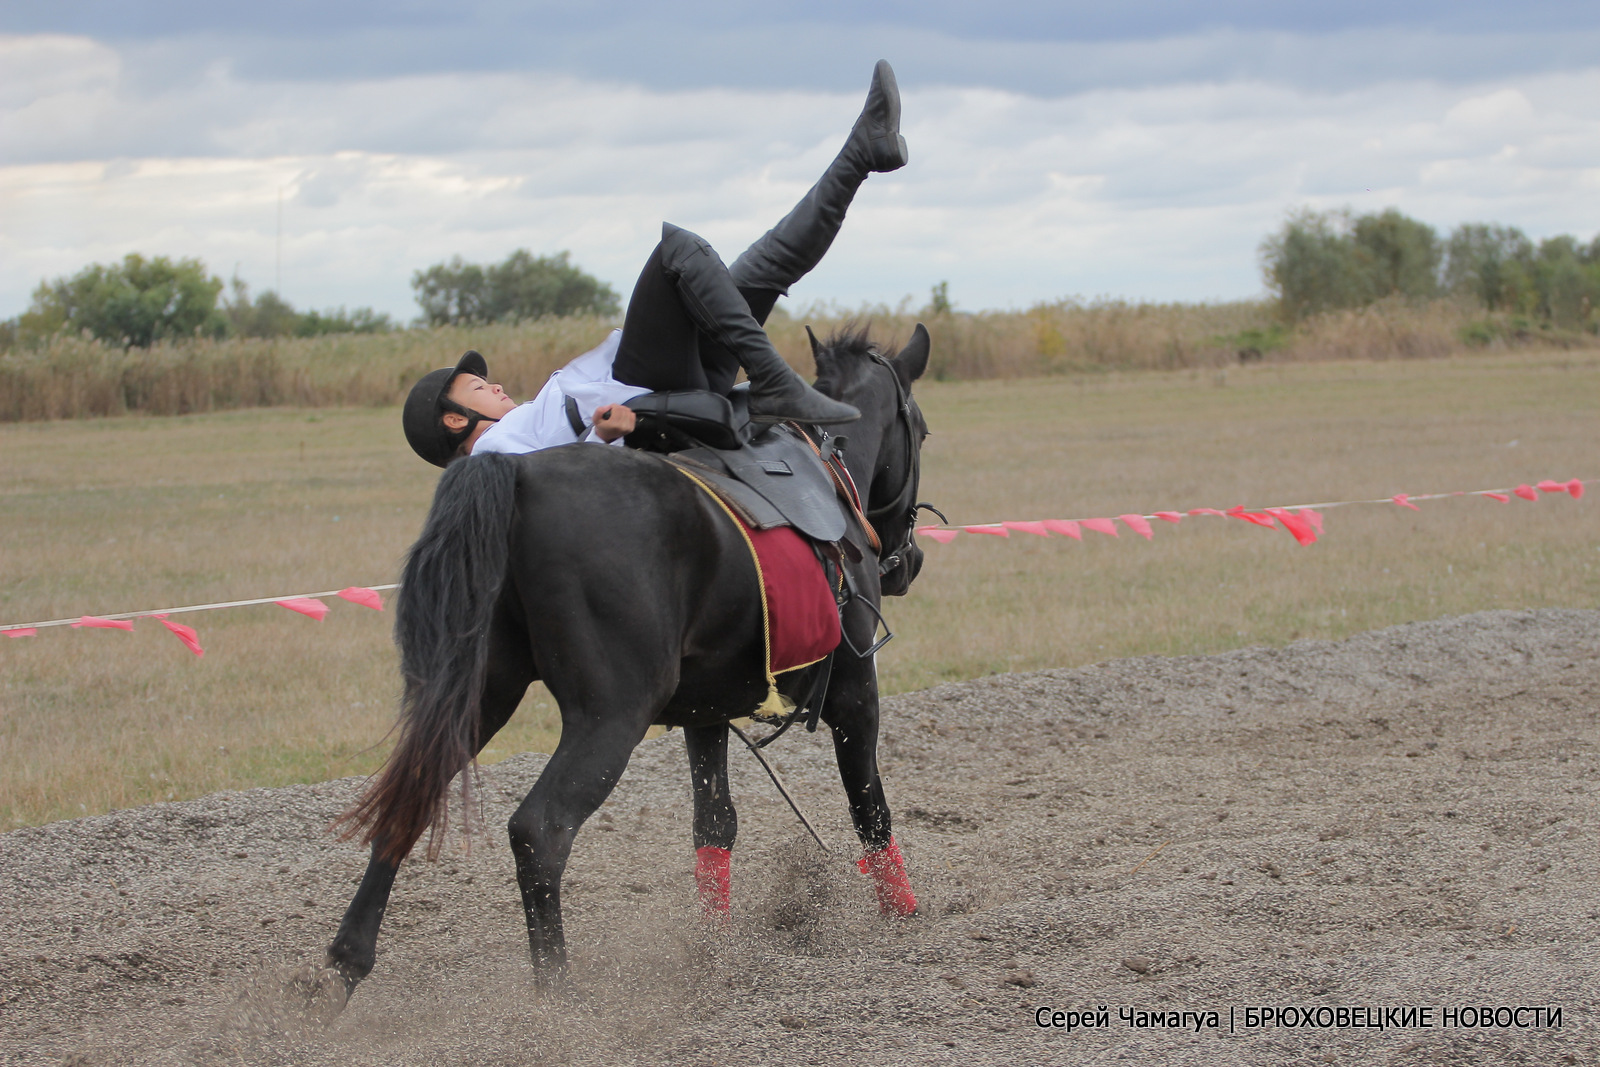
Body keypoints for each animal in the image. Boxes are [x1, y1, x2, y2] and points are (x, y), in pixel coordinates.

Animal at [324, 323, 928, 991]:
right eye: (922, 430)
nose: (910, 561)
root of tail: (516, 478)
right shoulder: (855, 687)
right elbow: (869, 806)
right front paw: (902, 914)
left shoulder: (707, 711)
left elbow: (714, 820)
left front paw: (714, 944)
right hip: (610, 716)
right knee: (539, 831)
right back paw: (555, 993)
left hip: (478, 696)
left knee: (411, 795)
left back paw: (346, 965)